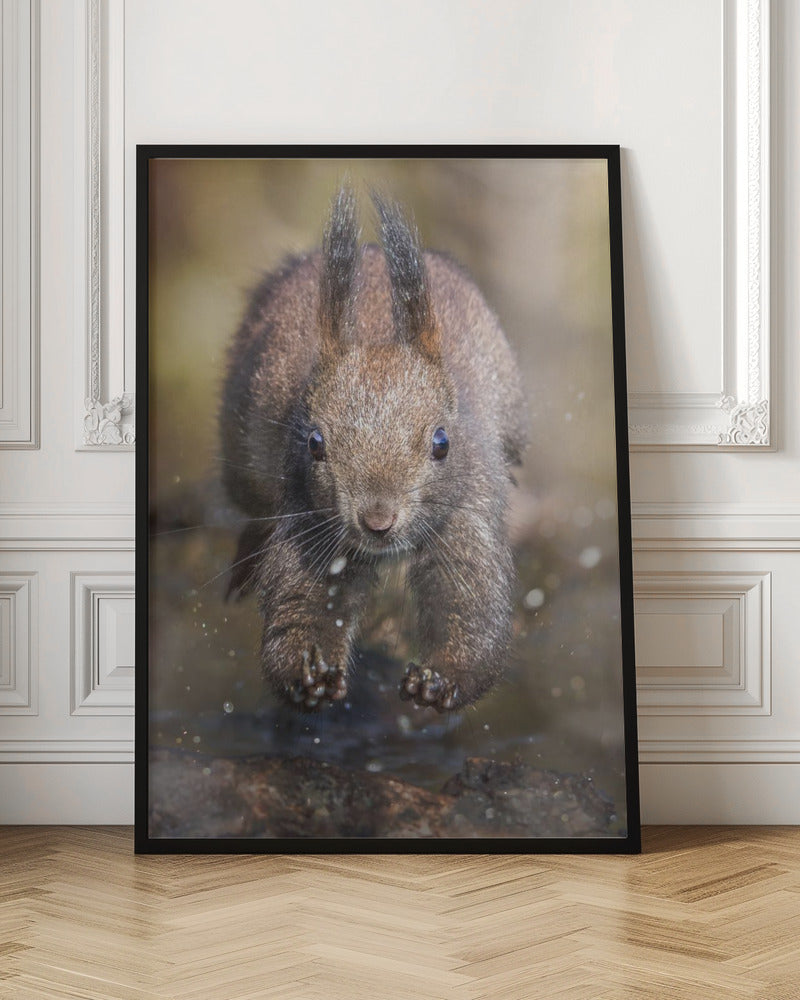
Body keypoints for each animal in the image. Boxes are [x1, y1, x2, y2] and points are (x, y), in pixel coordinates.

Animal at [219, 187, 528, 713]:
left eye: (442, 443)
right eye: (315, 443)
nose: (377, 522)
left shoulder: (467, 510)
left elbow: (471, 603)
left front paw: (440, 680)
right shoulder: (308, 519)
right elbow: (302, 600)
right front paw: (309, 675)